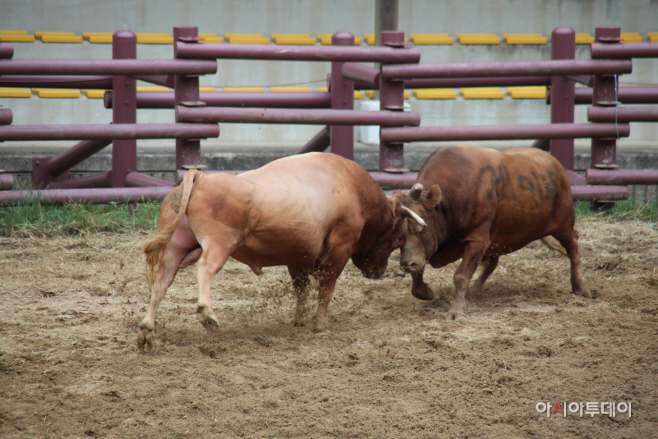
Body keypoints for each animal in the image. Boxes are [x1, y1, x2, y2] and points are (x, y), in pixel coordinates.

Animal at [139, 153, 412, 352]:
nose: (378, 272)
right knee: (206, 268)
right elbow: (326, 287)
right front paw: (320, 323)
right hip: (218, 244)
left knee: (161, 283)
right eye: (398, 238)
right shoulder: (339, 248)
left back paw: (147, 330)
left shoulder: (297, 255)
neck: (351, 186)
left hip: (176, 248)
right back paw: (207, 313)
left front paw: (299, 319)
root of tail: (201, 178)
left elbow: (301, 288)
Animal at [392, 146, 588, 322]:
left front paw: (456, 310)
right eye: (399, 235)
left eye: (419, 226)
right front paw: (424, 291)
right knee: (492, 262)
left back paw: (579, 286)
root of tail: (554, 164)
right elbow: (418, 271)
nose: (406, 264)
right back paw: (476, 289)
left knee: (573, 246)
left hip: (564, 224)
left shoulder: (477, 241)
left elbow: (461, 277)